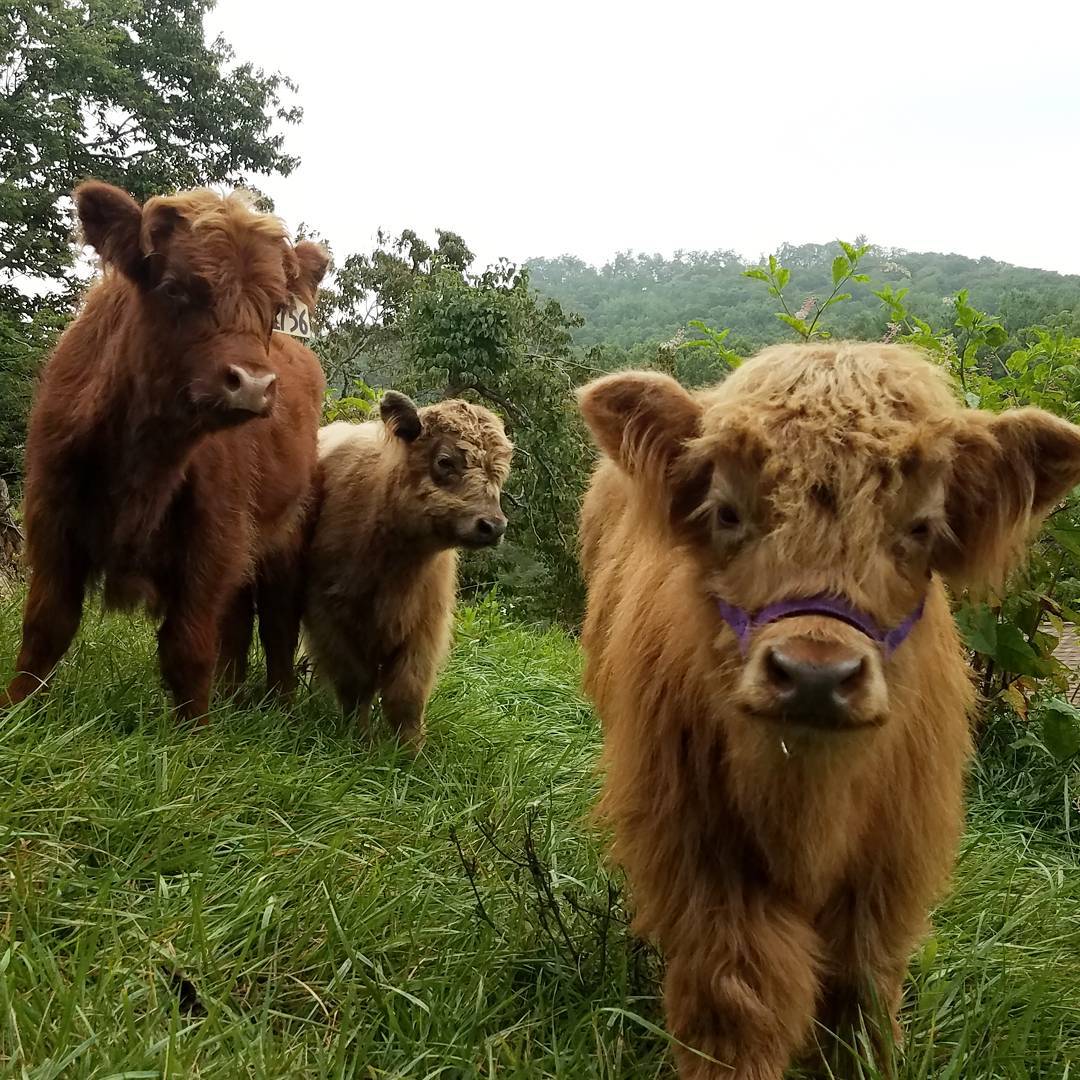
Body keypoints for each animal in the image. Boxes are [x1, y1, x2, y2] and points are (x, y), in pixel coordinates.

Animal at [2, 181, 326, 721]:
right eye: (175, 288)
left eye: (275, 306)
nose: (252, 384)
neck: (144, 456)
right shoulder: (50, 517)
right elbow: (46, 625)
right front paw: (17, 712)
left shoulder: (214, 534)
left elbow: (188, 645)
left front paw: (193, 733)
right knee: (238, 619)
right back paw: (233, 694)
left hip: (284, 535)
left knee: (277, 621)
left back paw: (279, 706)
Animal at [578, 343, 1080, 1080]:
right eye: (727, 512)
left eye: (921, 527)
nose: (815, 677)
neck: (808, 809)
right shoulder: (700, 855)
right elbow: (735, 995)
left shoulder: (889, 870)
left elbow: (858, 994)